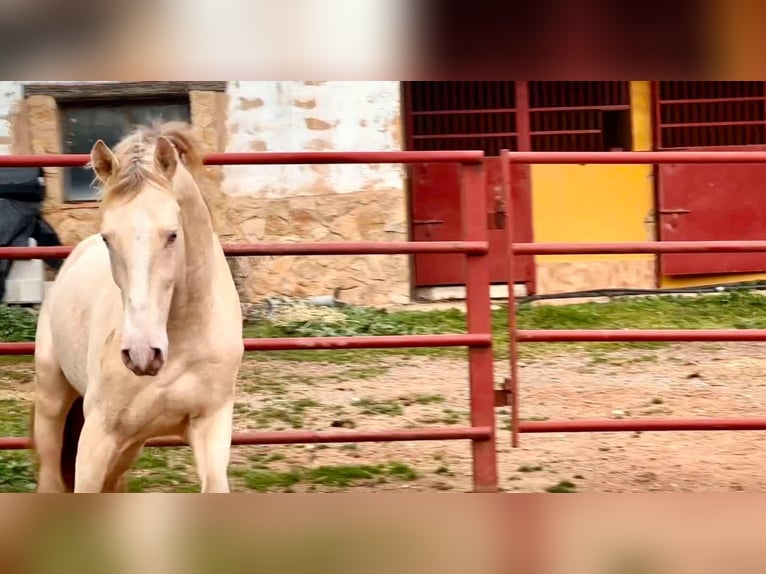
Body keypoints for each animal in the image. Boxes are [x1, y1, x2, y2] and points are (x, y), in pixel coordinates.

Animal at [30, 121, 243, 496]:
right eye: (107, 237)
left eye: (172, 234)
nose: (143, 354)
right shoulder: (98, 436)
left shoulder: (211, 422)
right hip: (53, 402)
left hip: (128, 445)